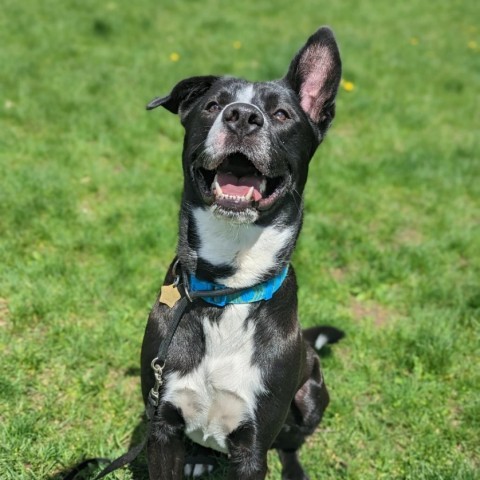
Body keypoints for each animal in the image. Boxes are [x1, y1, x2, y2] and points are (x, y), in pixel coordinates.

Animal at [141, 27, 344, 480]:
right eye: (213, 105)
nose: (241, 117)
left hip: (312, 396)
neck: (226, 290)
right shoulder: (162, 425)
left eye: (281, 114)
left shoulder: (252, 448)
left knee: (291, 441)